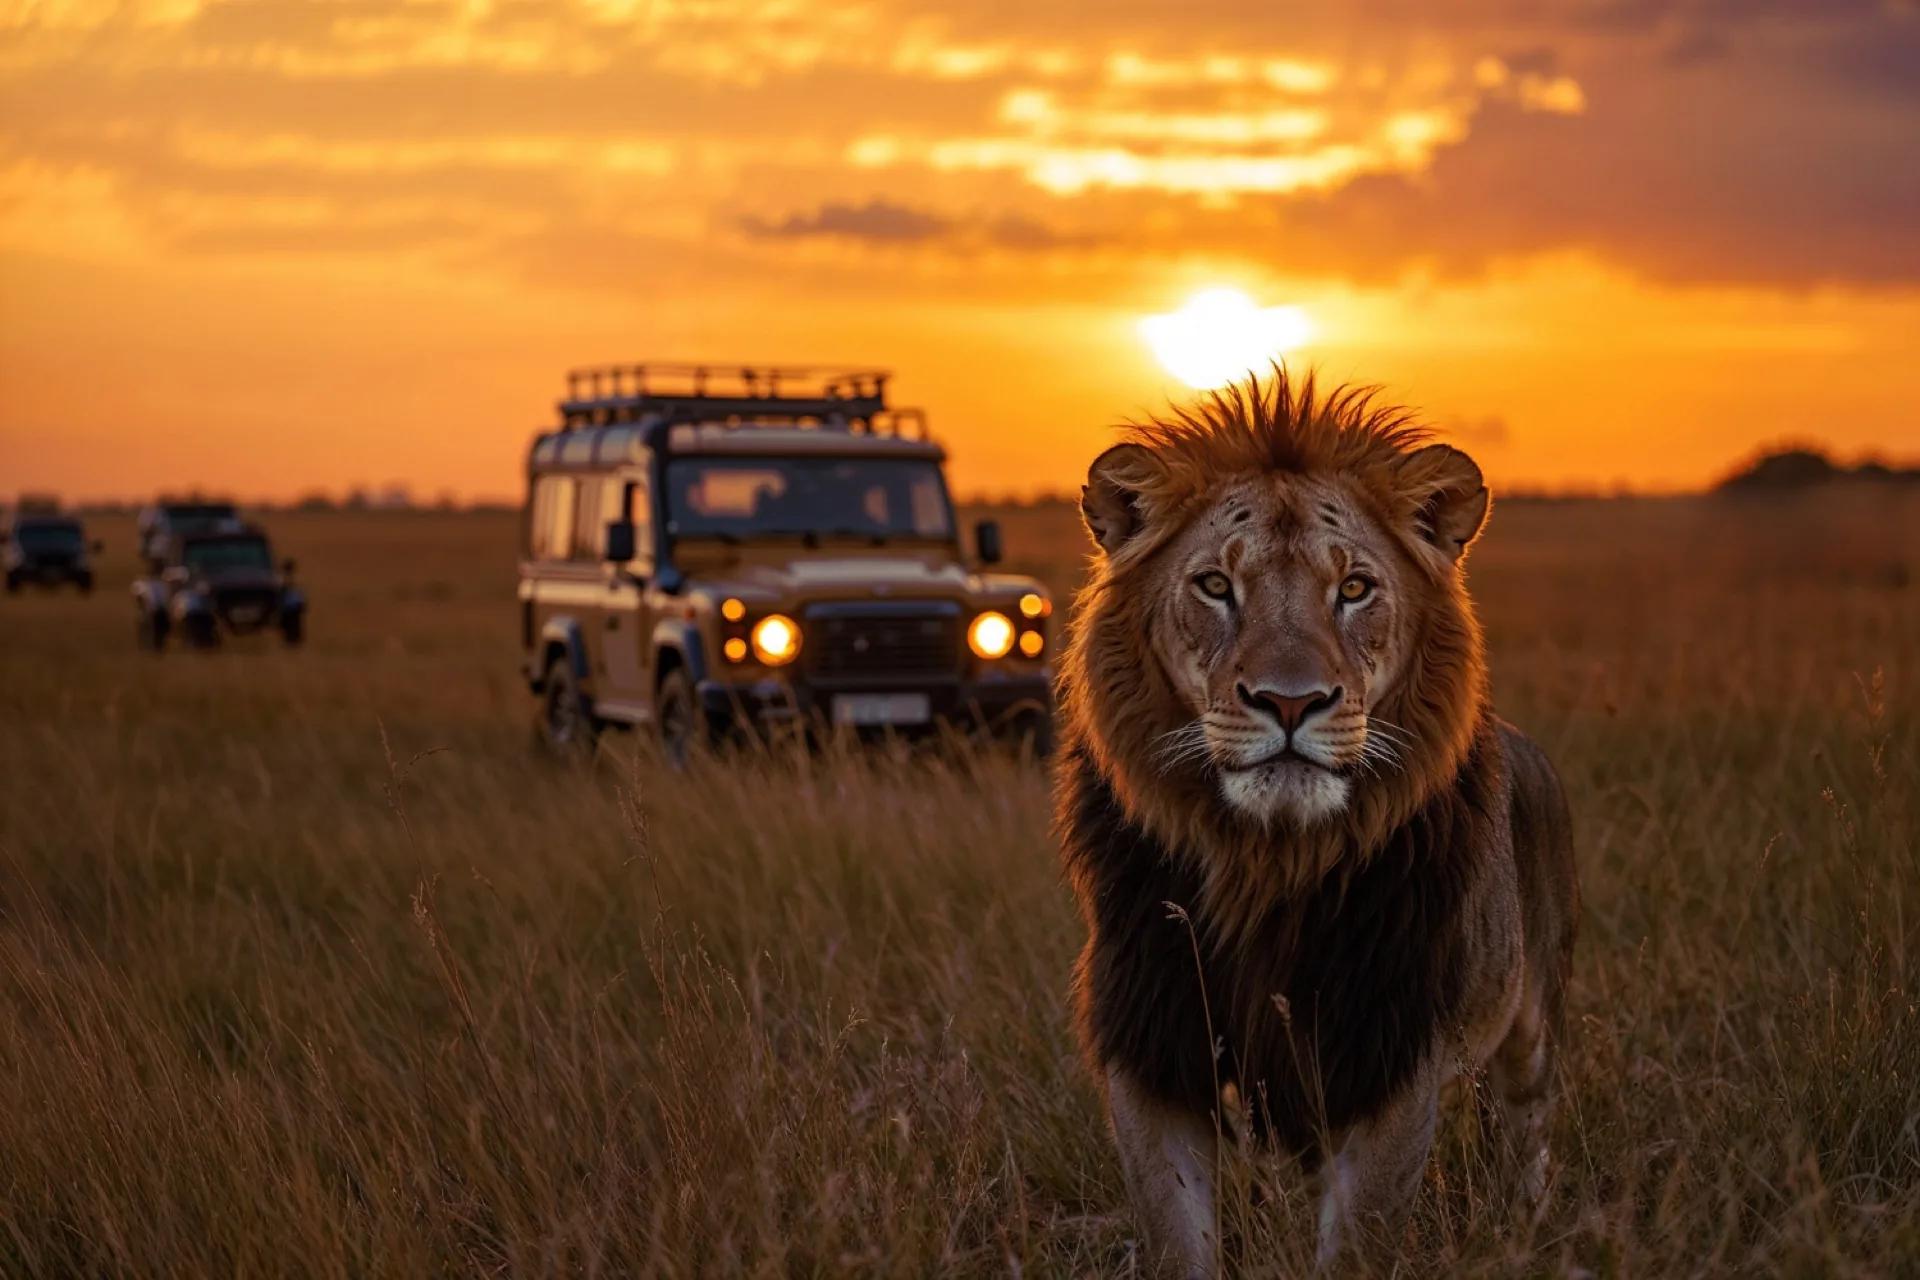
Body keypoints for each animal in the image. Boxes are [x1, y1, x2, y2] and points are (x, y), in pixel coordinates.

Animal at [1055, 368, 1578, 1274]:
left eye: (1355, 589)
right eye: (1216, 586)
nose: (1291, 702)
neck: (1268, 864)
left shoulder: (1390, 1055)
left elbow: (1356, 1246)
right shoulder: (1155, 1048)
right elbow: (1178, 1238)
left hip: (1533, 1023)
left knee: (1529, 1137)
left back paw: (1527, 1230)